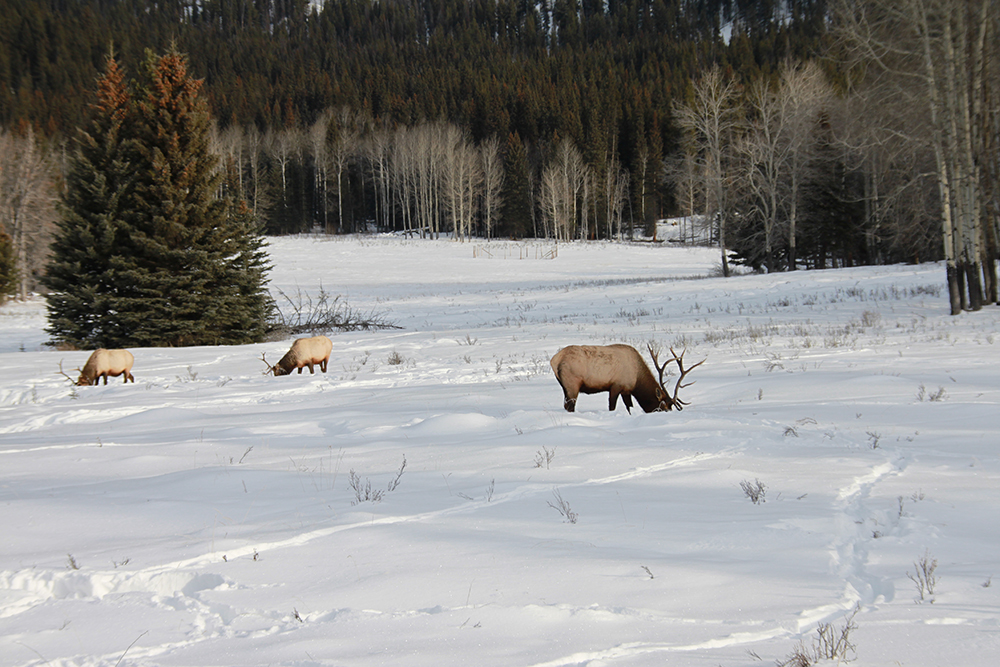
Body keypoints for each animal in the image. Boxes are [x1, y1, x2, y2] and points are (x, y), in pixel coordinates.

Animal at [549, 344, 704, 413]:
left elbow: (629, 407)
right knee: (570, 407)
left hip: (565, 387)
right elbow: (612, 407)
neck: (637, 380)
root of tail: (554, 360)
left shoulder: (626, 390)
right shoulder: (616, 385)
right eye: (664, 408)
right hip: (572, 384)